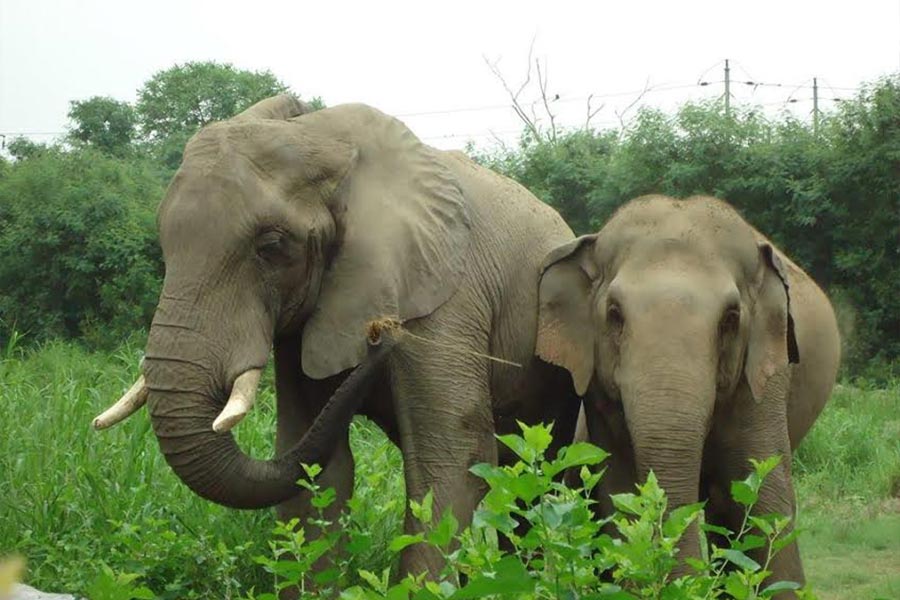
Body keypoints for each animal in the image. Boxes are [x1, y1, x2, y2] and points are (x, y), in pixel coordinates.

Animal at [92, 94, 581, 576]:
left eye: (271, 246)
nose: (382, 334)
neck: (328, 142)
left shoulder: (446, 296)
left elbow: (450, 461)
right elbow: (316, 469)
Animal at [536, 194, 840, 589]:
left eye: (731, 317)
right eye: (614, 313)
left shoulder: (763, 384)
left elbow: (764, 497)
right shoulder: (601, 398)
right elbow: (619, 492)